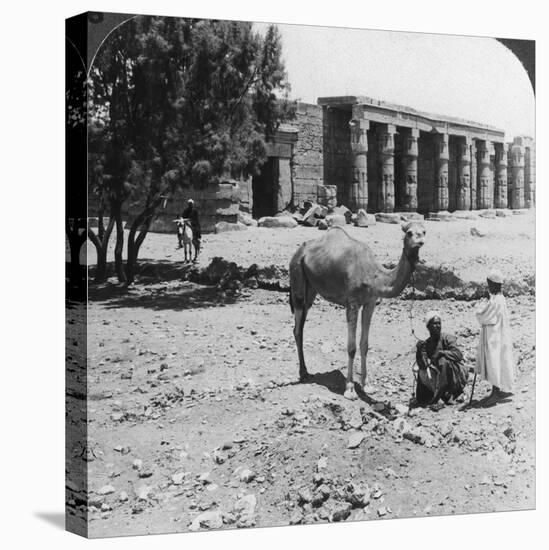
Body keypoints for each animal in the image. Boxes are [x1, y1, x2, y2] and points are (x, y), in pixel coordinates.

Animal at [288, 221, 426, 402]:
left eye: (424, 231)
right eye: (409, 233)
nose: (420, 242)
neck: (374, 277)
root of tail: (300, 251)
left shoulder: (370, 303)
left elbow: (364, 344)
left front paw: (367, 385)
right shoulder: (352, 303)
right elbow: (351, 347)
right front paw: (350, 389)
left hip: (311, 288)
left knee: (301, 324)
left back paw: (304, 371)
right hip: (297, 275)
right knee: (297, 327)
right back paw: (303, 373)